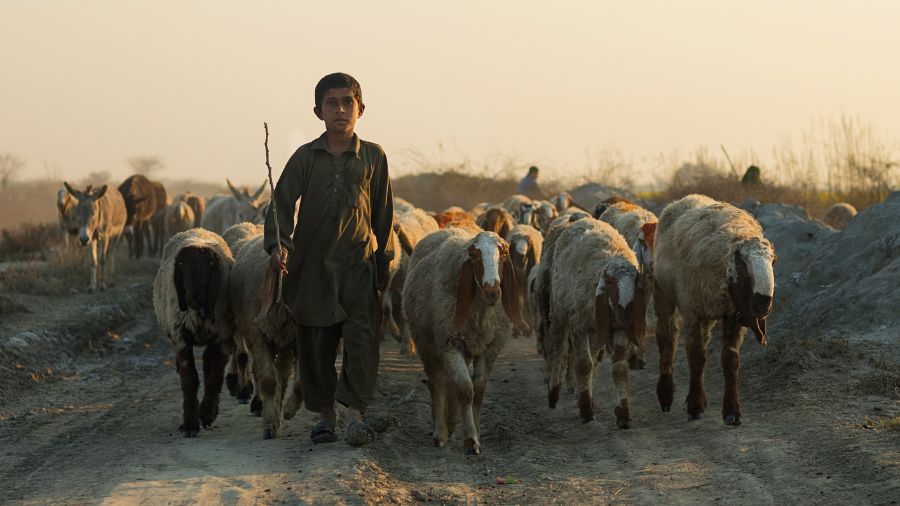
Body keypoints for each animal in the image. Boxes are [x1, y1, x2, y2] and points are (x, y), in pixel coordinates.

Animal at [153, 228, 235, 437]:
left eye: (208, 266)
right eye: (183, 267)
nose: (193, 297)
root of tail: (198, 230)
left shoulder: (222, 337)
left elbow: (214, 377)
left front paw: (205, 414)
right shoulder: (181, 336)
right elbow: (189, 379)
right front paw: (190, 423)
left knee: (208, 365)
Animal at [227, 234, 303, 438]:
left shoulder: (295, 340)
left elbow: (299, 381)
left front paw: (289, 410)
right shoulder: (259, 336)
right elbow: (268, 381)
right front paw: (269, 425)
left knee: (283, 378)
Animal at [403, 229, 530, 454]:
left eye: (503, 254)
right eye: (473, 255)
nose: (492, 292)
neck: (481, 312)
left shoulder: (489, 348)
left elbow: (478, 390)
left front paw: (476, 431)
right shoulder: (450, 344)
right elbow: (466, 389)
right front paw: (470, 439)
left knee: (448, 381)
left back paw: (452, 422)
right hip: (427, 345)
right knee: (437, 382)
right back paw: (440, 432)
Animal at [653, 194, 776, 426]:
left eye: (773, 262)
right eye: (743, 264)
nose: (763, 304)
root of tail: (688, 197)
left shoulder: (733, 313)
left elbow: (730, 359)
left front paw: (732, 411)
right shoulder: (691, 308)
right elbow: (695, 355)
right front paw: (694, 406)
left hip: (707, 311)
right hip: (665, 294)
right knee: (667, 340)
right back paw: (665, 395)